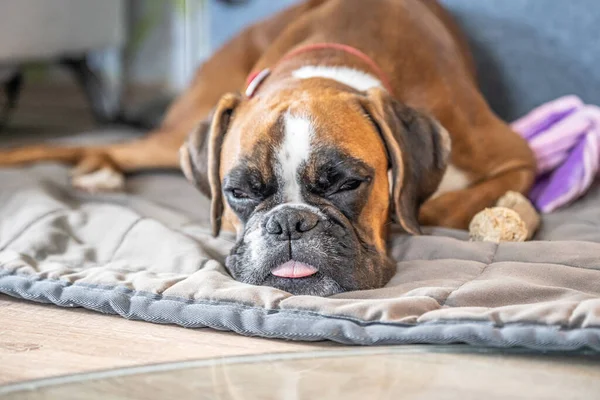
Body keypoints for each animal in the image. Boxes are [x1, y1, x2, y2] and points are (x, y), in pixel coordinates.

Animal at [0, 0, 536, 294]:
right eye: (238, 192)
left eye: (347, 183)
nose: (289, 223)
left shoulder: (521, 157)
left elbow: (445, 203)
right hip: (177, 133)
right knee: (112, 147)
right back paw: (97, 173)